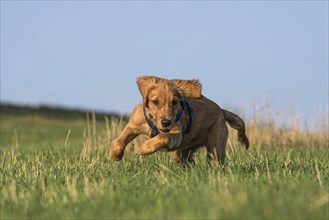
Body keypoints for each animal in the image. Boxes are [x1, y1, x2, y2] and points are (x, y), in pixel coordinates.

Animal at [109, 75, 247, 163]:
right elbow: (119, 141)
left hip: (215, 146)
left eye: (174, 102)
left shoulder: (176, 135)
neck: (154, 124)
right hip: (185, 151)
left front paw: (144, 149)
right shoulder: (133, 125)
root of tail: (221, 111)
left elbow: (163, 136)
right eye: (155, 102)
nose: (166, 122)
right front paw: (115, 155)